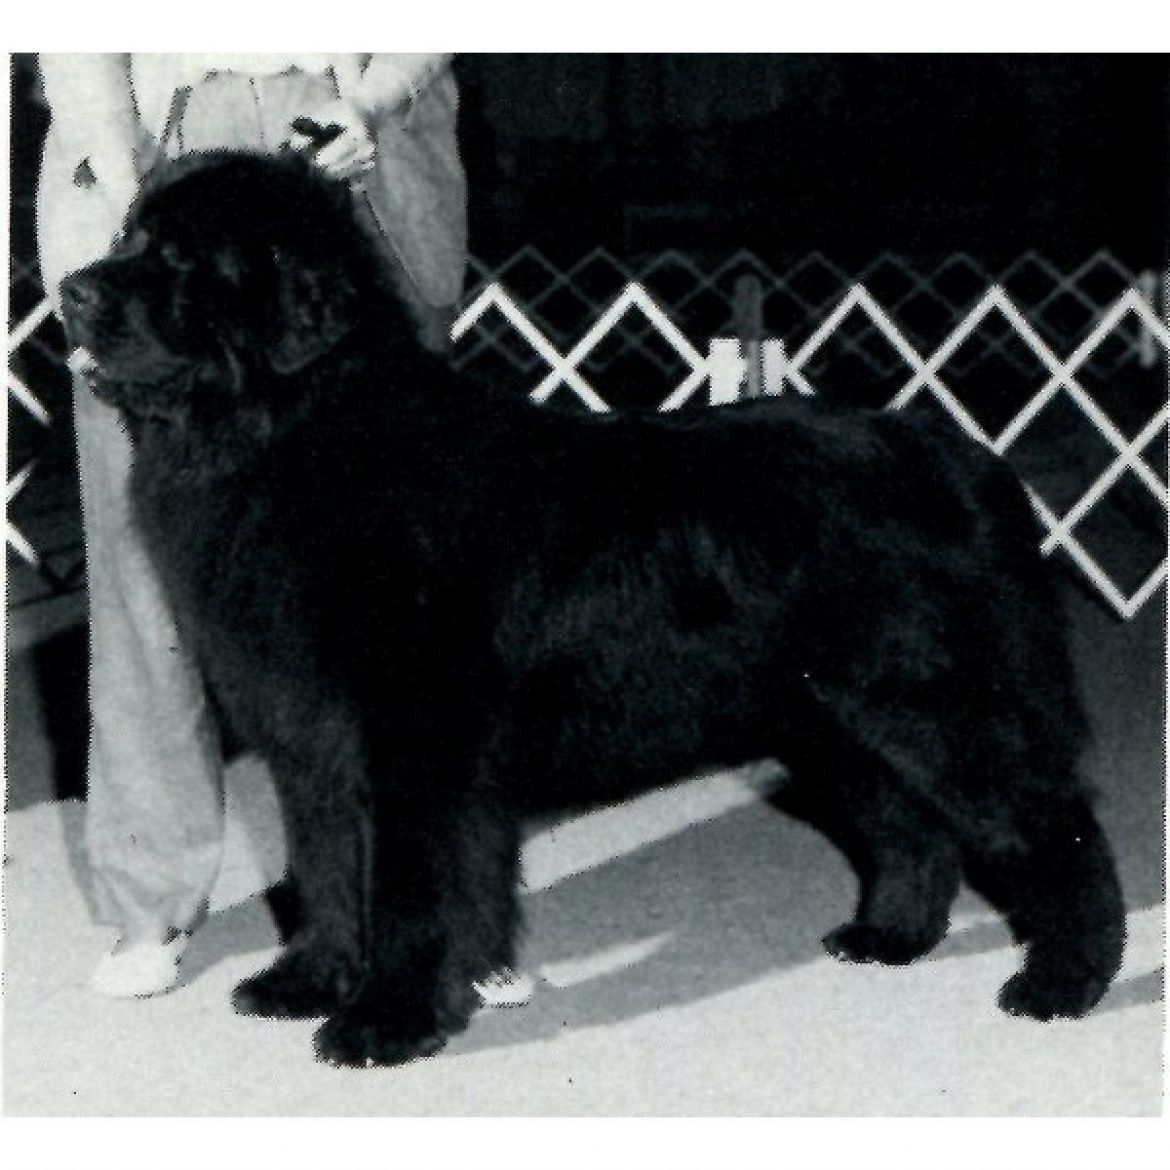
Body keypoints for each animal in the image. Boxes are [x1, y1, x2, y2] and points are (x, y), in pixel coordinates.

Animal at [61, 150, 1125, 1067]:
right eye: (128, 234)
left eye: (177, 260)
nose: (72, 291)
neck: (300, 431)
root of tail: (962, 459)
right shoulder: (313, 740)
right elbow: (327, 868)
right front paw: (312, 981)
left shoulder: (412, 747)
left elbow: (404, 891)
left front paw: (382, 1025)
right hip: (831, 717)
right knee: (910, 824)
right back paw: (890, 934)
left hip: (928, 701)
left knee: (1049, 821)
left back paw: (1064, 983)